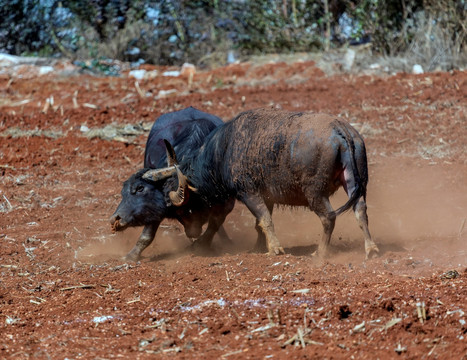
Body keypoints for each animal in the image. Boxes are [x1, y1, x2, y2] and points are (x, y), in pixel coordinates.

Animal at [109, 105, 234, 260]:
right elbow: (147, 235)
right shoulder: (158, 208)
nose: (115, 218)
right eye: (123, 192)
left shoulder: (227, 204)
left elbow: (214, 224)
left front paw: (201, 246)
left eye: (140, 188)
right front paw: (131, 256)